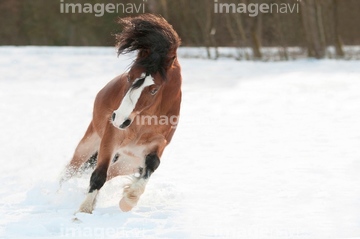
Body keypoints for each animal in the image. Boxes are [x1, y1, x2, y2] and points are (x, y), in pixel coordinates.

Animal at [60, 13, 183, 213]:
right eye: (129, 77)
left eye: (154, 89)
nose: (120, 119)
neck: (143, 121)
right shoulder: (111, 138)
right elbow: (98, 175)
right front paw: (83, 211)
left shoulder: (155, 146)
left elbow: (152, 164)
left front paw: (129, 199)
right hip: (89, 143)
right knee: (71, 170)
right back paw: (57, 193)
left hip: (126, 163)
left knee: (110, 173)